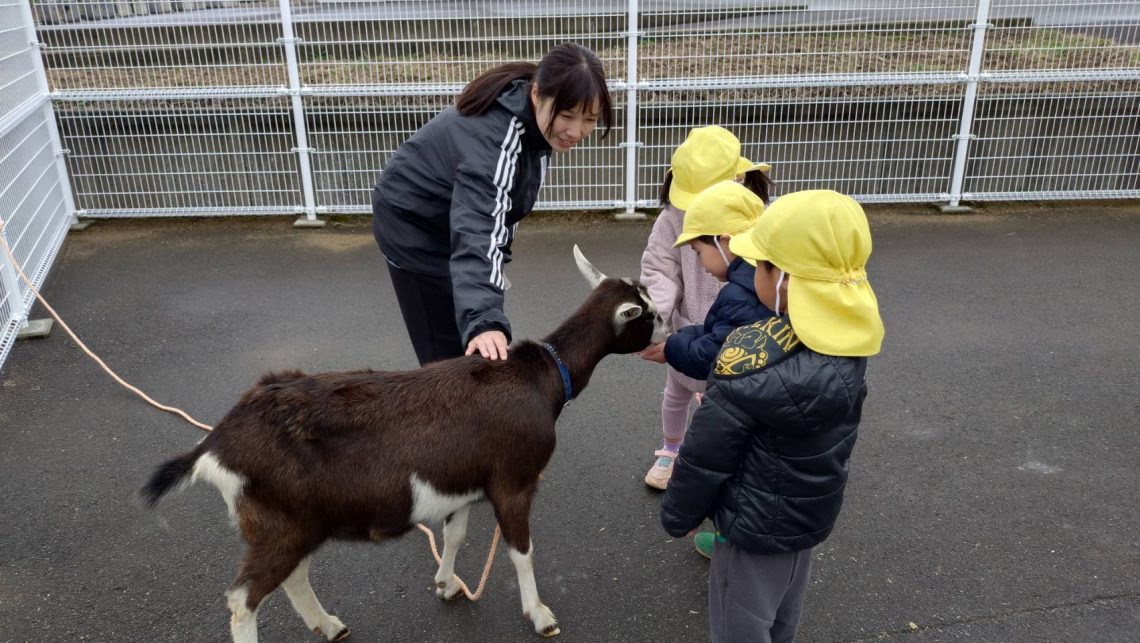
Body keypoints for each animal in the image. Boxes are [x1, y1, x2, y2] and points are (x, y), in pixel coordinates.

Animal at [141, 247, 665, 643]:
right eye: (649, 314)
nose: (671, 324)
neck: (542, 377)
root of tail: (214, 446)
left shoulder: (462, 482)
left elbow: (454, 535)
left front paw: (447, 584)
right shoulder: (513, 482)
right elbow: (522, 551)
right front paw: (540, 616)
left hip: (297, 522)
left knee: (292, 578)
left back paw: (330, 625)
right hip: (280, 524)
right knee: (242, 599)